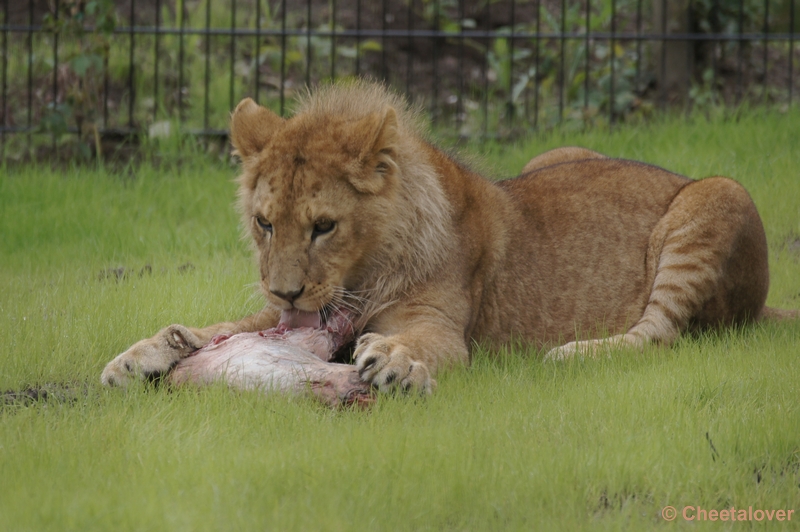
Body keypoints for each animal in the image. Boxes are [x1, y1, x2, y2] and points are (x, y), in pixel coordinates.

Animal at [101, 81, 800, 392]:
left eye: (324, 227)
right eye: (264, 222)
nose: (287, 292)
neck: (365, 268)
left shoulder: (439, 325)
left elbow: (421, 343)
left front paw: (396, 359)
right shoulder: (285, 314)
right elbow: (228, 327)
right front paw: (141, 354)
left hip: (722, 195)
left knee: (661, 334)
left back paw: (572, 354)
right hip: (560, 153)